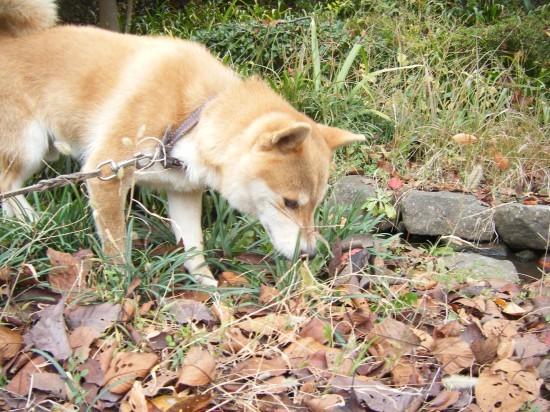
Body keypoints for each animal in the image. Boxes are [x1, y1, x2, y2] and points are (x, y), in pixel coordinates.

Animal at [2, 0, 368, 284]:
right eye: (290, 203)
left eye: (316, 205)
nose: (309, 253)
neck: (193, 118)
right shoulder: (106, 173)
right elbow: (116, 245)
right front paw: (122, 284)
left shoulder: (183, 191)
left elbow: (194, 250)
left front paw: (209, 289)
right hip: (30, 147)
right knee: (7, 185)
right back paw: (30, 223)